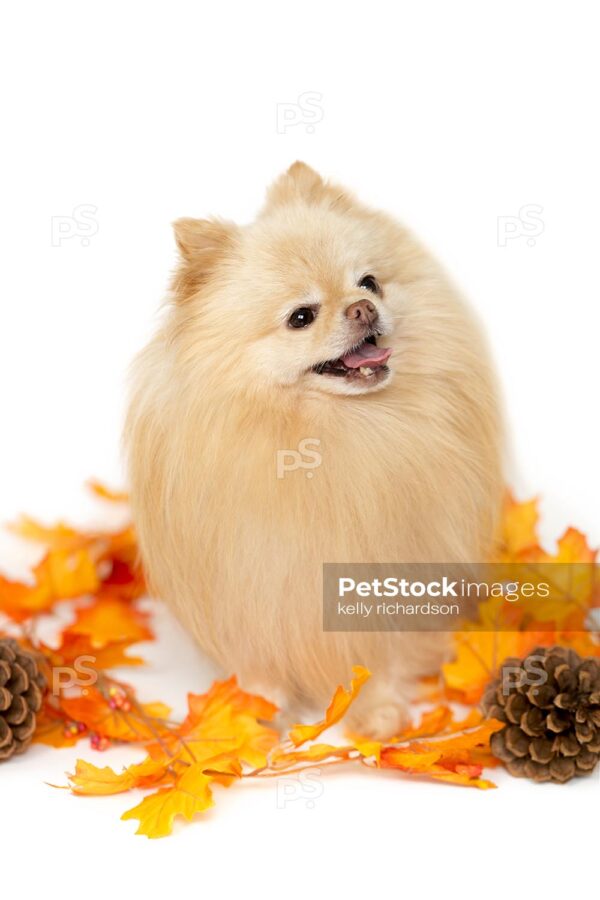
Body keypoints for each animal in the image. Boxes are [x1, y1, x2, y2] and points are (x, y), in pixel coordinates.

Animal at [125, 163, 502, 740]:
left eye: (369, 282)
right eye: (300, 317)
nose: (364, 307)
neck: (331, 431)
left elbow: (379, 654)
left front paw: (377, 712)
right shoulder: (252, 585)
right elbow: (262, 662)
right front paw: (253, 714)